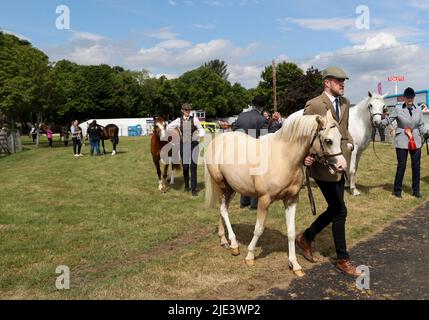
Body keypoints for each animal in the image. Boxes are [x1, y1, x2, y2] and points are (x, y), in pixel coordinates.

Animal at [203, 111, 344, 276]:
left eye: (340, 138)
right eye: (328, 140)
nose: (341, 166)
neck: (284, 158)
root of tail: (217, 140)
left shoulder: (291, 200)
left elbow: (291, 231)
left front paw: (295, 265)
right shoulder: (264, 199)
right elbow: (258, 229)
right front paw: (250, 256)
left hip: (231, 188)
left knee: (222, 209)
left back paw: (225, 241)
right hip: (221, 185)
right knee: (223, 210)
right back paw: (234, 244)